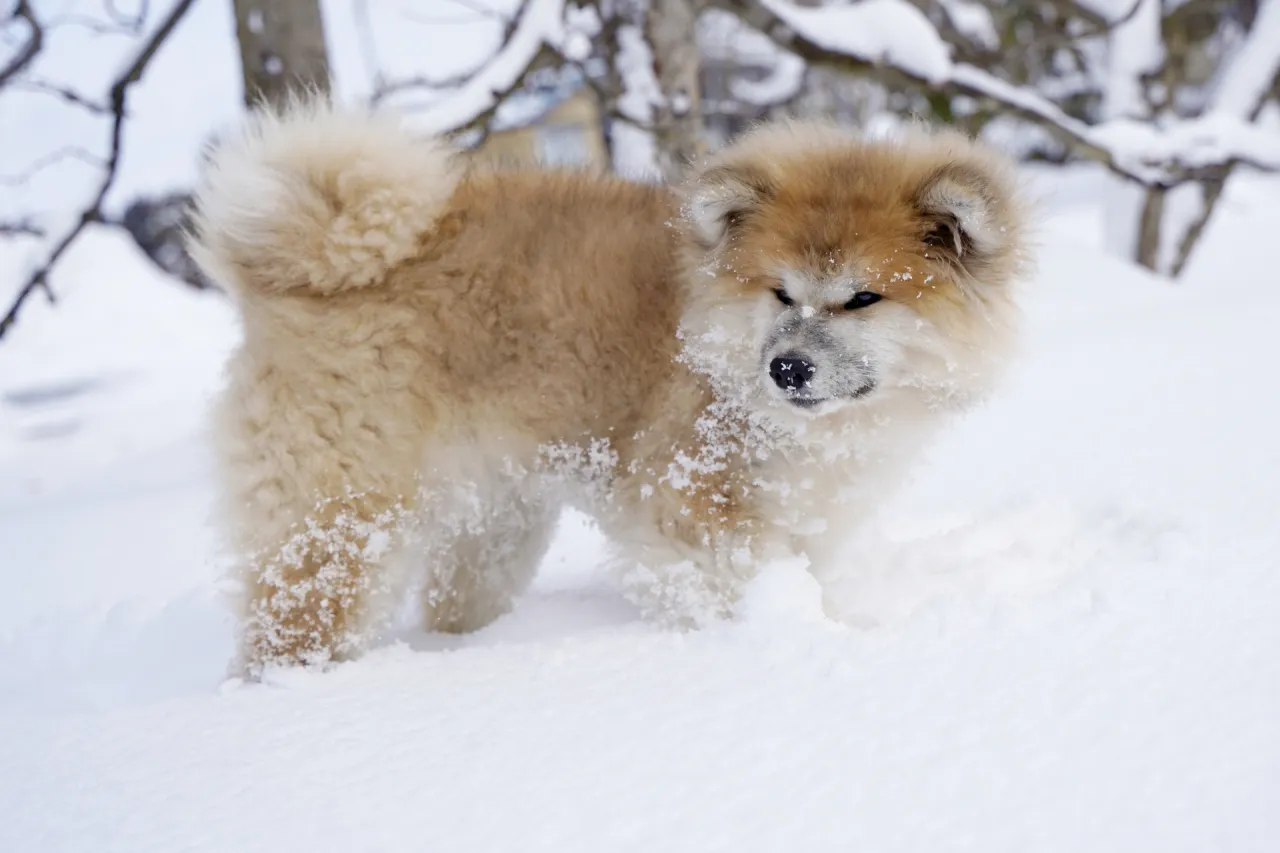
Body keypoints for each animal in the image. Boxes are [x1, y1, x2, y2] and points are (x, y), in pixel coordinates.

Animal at [189, 99, 1029, 671]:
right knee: (297, 617)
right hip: (344, 515)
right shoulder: (688, 494)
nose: (786, 366)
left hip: (495, 522)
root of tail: (296, 266)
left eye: (863, 297)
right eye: (781, 293)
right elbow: (729, 578)